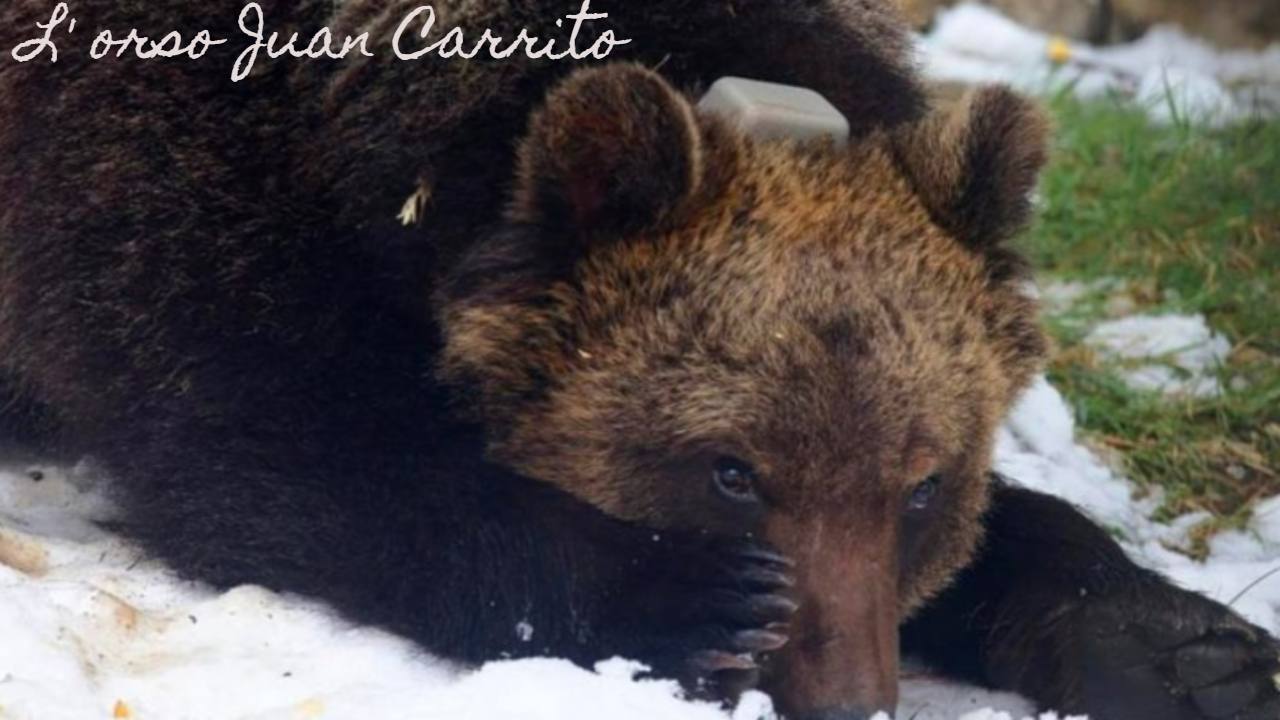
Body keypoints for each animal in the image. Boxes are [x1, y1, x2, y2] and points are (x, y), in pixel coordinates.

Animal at [1, 2, 1277, 719]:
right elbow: (287, 459)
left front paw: (1198, 655)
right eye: (729, 470)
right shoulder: (174, 208)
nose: (848, 700)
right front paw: (691, 595)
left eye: (923, 485)